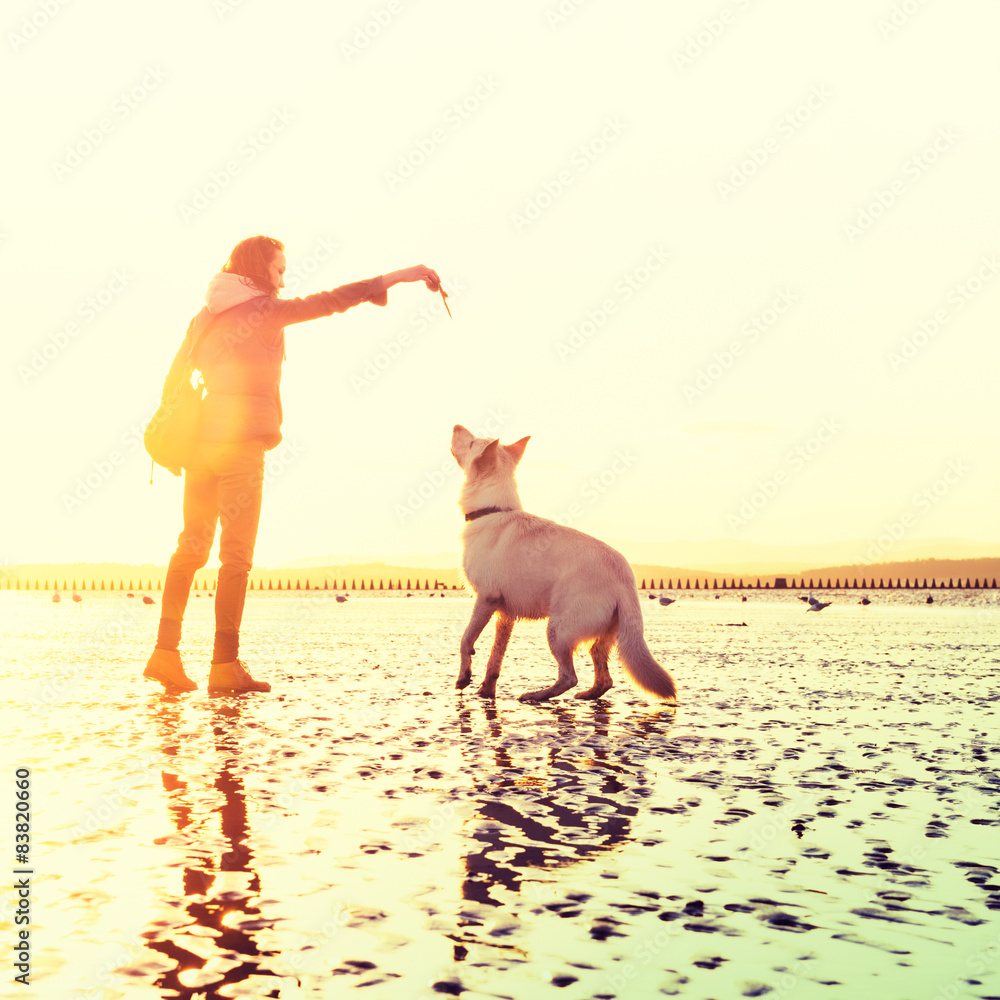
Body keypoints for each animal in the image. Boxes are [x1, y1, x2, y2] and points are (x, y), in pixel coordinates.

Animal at [452, 422, 680, 704]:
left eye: (473, 442)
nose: (456, 425)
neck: (492, 510)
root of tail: (625, 580)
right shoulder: (505, 615)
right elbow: (496, 659)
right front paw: (486, 691)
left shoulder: (486, 599)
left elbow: (466, 639)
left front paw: (464, 678)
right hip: (602, 636)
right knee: (603, 676)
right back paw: (587, 695)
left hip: (557, 630)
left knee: (569, 676)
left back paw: (537, 695)